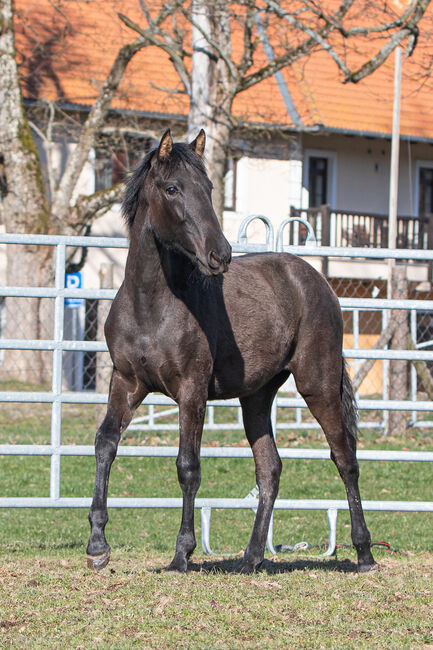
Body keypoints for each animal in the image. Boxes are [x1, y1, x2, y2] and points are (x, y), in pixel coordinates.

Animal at [85, 130, 374, 572]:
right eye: (172, 188)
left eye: (208, 188)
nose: (219, 254)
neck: (151, 304)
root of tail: (318, 281)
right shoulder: (127, 383)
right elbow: (105, 444)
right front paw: (97, 545)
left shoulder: (191, 391)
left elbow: (187, 466)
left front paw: (182, 553)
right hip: (256, 397)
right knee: (270, 468)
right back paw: (250, 558)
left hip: (318, 385)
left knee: (345, 459)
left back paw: (364, 553)